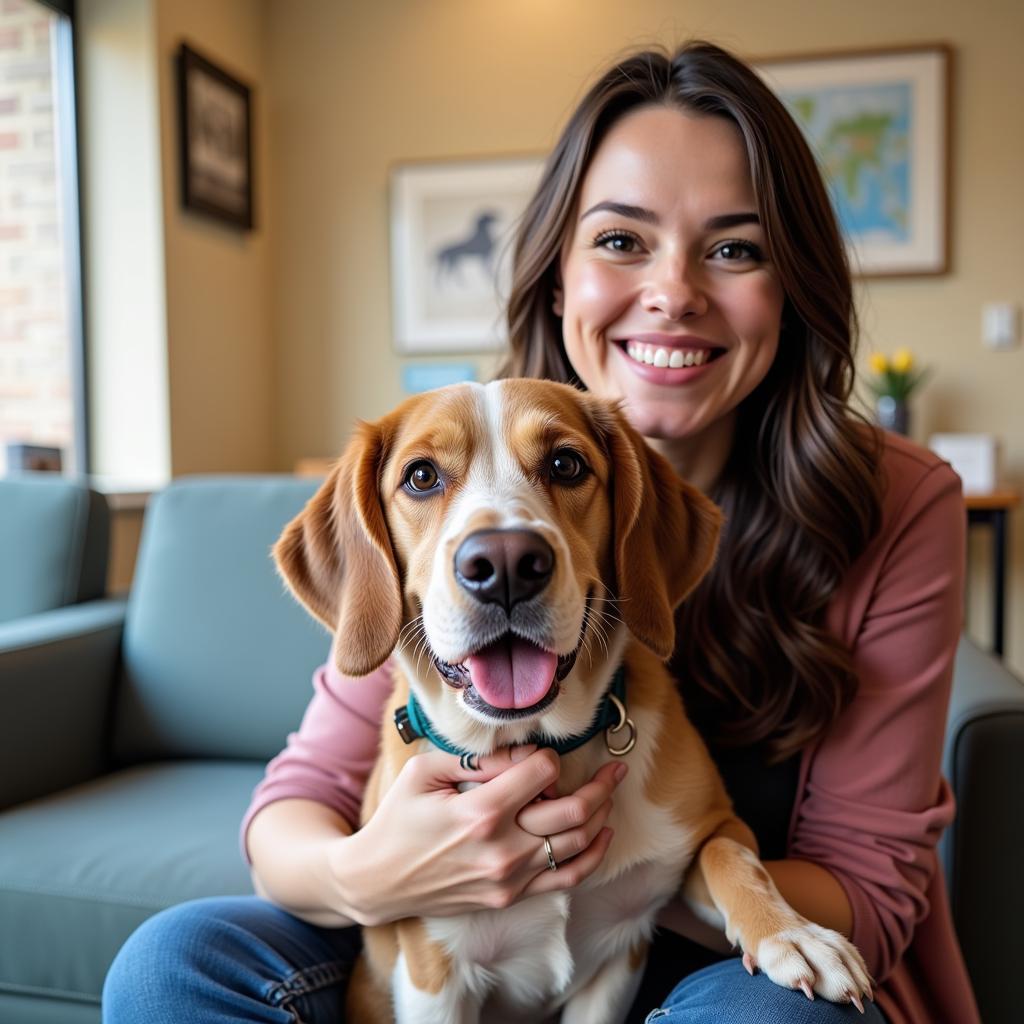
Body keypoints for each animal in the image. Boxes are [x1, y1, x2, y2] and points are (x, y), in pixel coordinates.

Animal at [274, 378, 872, 1024]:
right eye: (421, 476)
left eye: (566, 464)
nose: (504, 563)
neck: (541, 746)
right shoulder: (434, 972)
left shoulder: (632, 937)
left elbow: (732, 857)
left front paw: (791, 933)